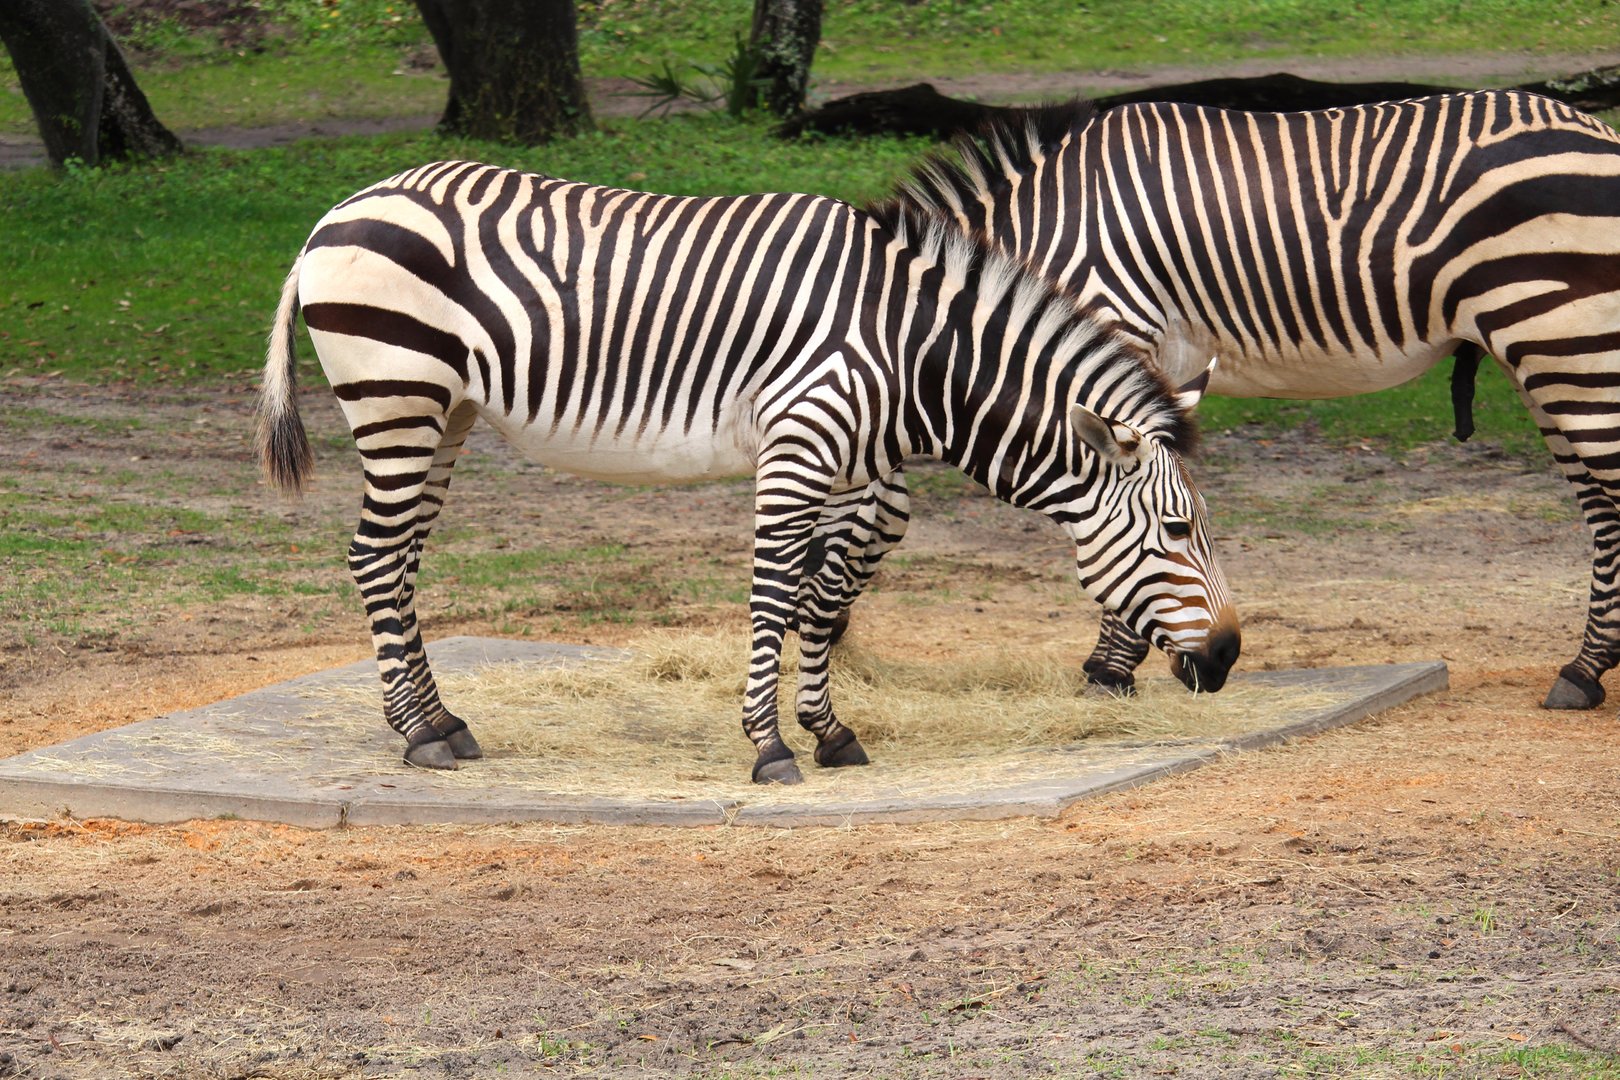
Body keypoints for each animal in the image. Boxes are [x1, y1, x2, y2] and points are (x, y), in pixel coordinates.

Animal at [256, 160, 1241, 785]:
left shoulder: (849, 469)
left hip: (445, 412)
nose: (1229, 657)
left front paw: (829, 730)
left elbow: (822, 597)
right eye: (1178, 529)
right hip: (397, 393)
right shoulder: (799, 448)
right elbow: (775, 594)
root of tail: (336, 212)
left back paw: (443, 722)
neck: (913, 350)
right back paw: (418, 734)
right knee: (375, 556)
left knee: (402, 559)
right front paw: (770, 748)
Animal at [819, 88, 1620, 711]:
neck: (1036, 251)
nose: (833, 656)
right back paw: (1584, 670)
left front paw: (1110, 674)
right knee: (1600, 507)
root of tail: (1596, 130)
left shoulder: (1114, 331)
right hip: (1548, 350)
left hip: (1563, 340)